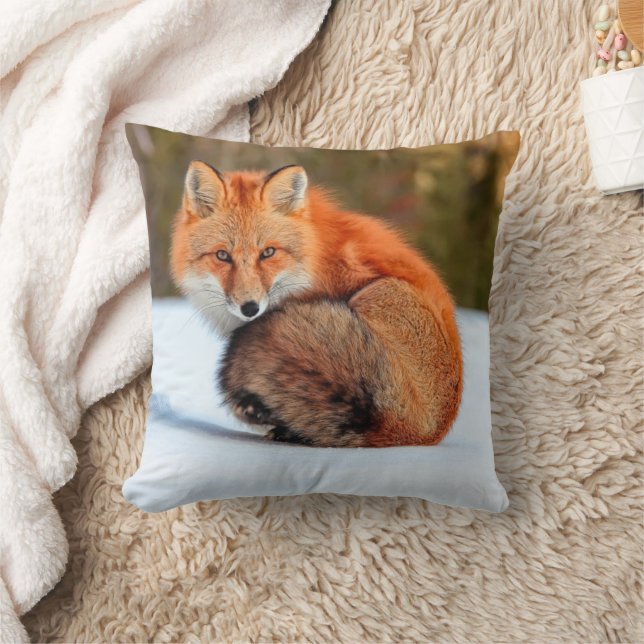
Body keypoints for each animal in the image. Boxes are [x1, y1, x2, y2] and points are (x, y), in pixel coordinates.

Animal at [170, 160, 463, 447]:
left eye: (268, 252)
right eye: (222, 255)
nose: (250, 308)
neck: (314, 262)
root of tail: (419, 432)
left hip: (378, 293)